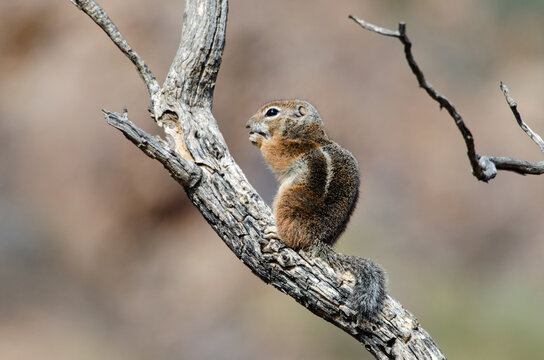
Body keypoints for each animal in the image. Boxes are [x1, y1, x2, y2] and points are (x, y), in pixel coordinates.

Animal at [246, 98, 386, 318]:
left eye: (272, 112)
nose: (248, 124)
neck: (305, 130)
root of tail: (317, 240)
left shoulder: (289, 148)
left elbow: (273, 154)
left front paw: (257, 139)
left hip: (287, 201)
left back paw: (277, 233)